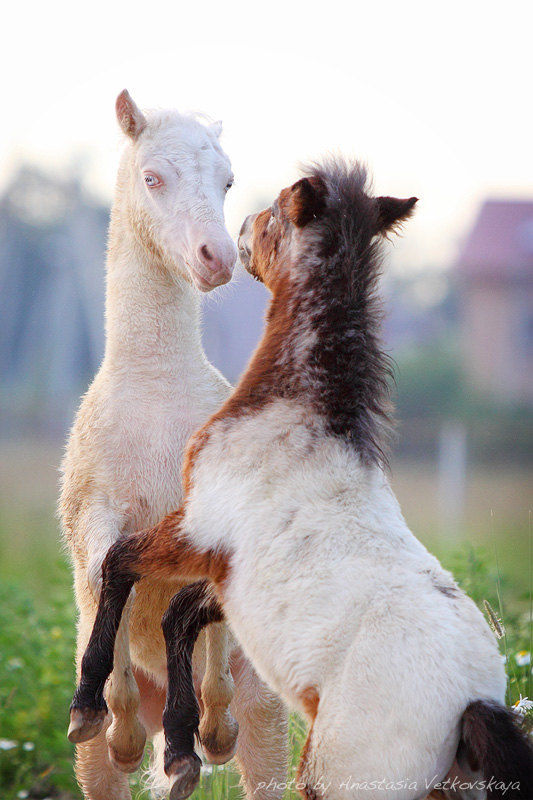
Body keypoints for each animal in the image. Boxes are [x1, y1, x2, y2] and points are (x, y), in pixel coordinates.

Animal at [58, 90, 286, 800]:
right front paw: (108, 713)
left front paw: (208, 724)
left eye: (228, 181)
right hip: (94, 771)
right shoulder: (95, 512)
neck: (156, 391)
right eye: (153, 177)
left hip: (268, 722)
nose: (218, 257)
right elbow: (106, 571)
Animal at [69, 159, 532, 796]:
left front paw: (100, 712)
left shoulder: (196, 529)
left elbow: (121, 566)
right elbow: (178, 610)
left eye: (276, 211)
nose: (236, 234)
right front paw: (186, 744)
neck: (295, 417)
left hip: (341, 775)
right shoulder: (228, 571)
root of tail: (474, 703)